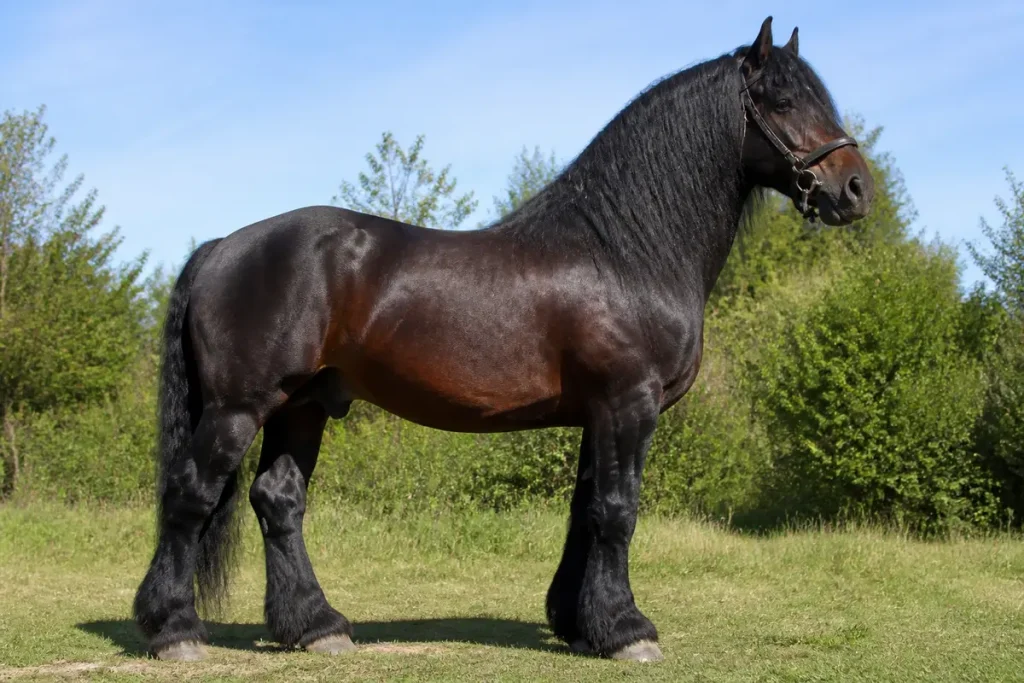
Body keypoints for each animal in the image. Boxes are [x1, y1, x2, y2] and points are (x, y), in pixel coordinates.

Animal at [133, 16, 874, 663]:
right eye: (783, 99)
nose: (855, 189)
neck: (625, 249)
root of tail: (223, 246)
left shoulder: (599, 413)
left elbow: (585, 509)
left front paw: (579, 622)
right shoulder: (627, 404)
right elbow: (617, 510)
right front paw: (627, 630)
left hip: (303, 407)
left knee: (278, 500)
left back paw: (316, 626)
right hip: (239, 408)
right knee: (191, 493)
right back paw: (176, 631)